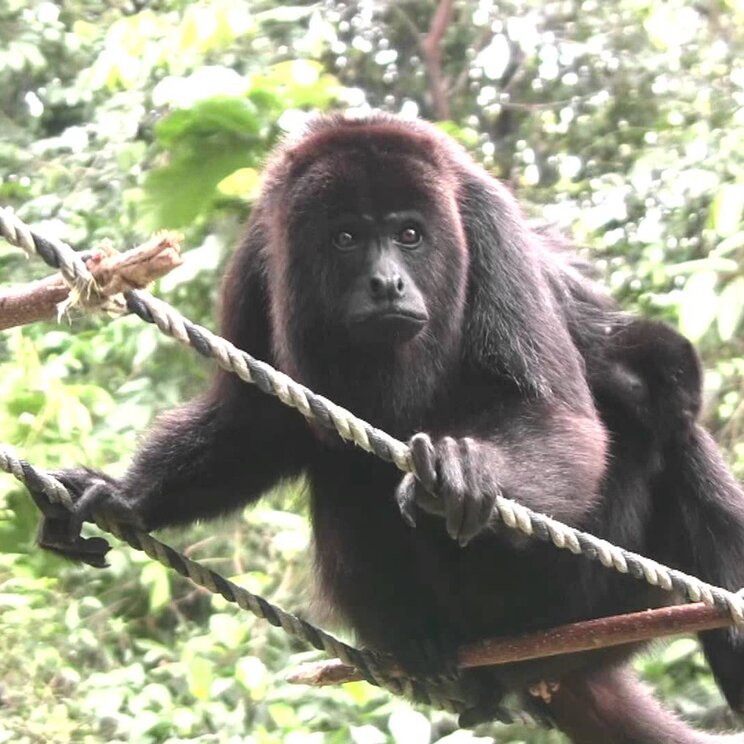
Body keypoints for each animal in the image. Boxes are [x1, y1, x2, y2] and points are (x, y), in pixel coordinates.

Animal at [31, 114, 744, 742]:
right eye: (346, 238)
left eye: (409, 235)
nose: (387, 283)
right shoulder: (262, 251)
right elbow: (252, 423)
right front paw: (122, 494)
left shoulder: (487, 225)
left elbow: (559, 416)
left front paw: (466, 470)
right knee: (346, 471)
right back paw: (429, 648)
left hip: (597, 604)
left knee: (661, 398)